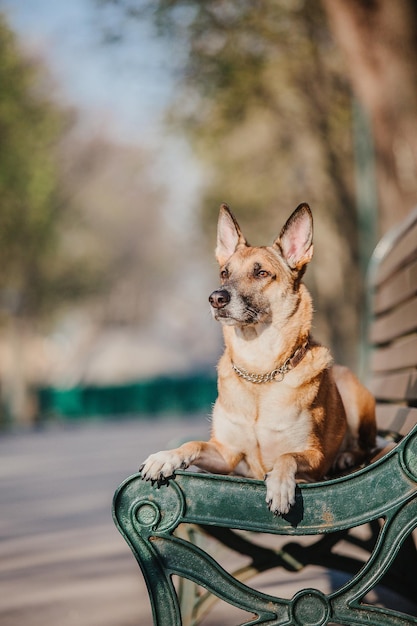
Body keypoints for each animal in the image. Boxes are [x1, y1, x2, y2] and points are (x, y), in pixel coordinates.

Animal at [141, 202, 376, 516]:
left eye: (262, 273)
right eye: (224, 273)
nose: (216, 298)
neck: (260, 372)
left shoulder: (314, 458)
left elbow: (287, 456)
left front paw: (279, 485)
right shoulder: (226, 455)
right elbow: (194, 444)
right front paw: (166, 457)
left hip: (349, 388)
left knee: (366, 445)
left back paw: (346, 456)